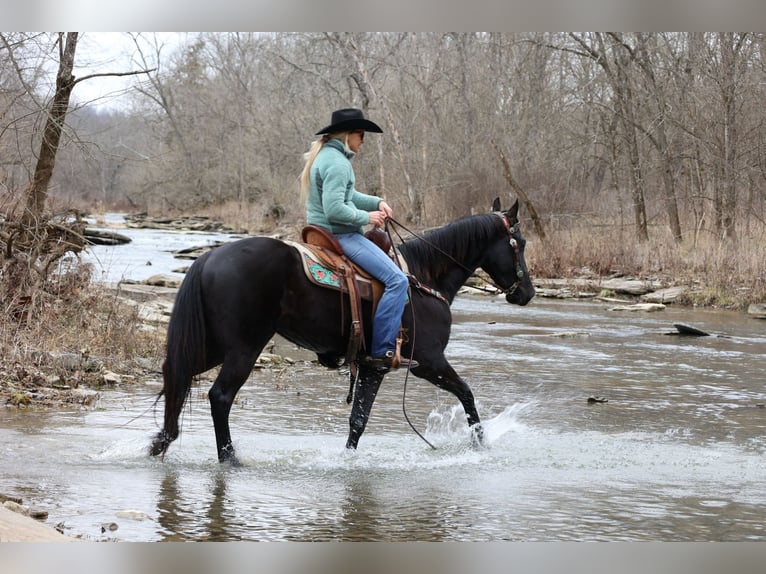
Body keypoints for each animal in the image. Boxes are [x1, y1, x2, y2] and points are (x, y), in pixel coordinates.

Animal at [148, 200, 536, 466]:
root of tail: (208, 258)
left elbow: (357, 421)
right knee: (220, 396)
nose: (527, 293)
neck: (425, 278)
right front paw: (480, 444)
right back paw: (229, 458)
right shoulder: (427, 362)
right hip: (244, 348)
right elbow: (466, 393)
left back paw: (161, 442)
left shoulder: (372, 367)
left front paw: (346, 460)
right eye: (520, 242)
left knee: (176, 375)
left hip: (212, 346)